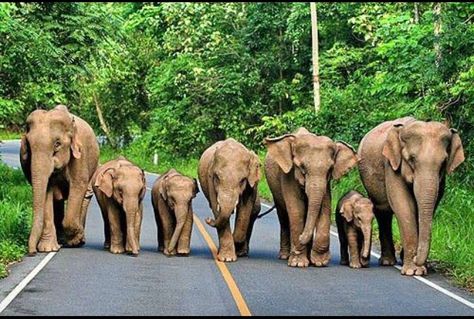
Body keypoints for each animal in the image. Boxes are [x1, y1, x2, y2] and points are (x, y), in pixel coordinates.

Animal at [19, 105, 99, 255]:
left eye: (57, 144)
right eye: (29, 146)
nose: (32, 252)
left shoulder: (80, 157)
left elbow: (78, 187)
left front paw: (74, 240)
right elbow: (47, 193)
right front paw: (47, 249)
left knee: (85, 196)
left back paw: (78, 240)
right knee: (58, 200)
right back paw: (61, 240)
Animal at [262, 127, 360, 268]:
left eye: (330, 169)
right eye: (302, 167)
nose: (300, 238)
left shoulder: (326, 184)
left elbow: (325, 208)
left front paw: (320, 262)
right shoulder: (288, 175)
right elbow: (296, 210)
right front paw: (298, 263)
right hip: (274, 188)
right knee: (284, 217)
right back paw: (285, 256)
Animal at [360, 116, 462, 276]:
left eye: (443, 162)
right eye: (412, 159)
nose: (415, 258)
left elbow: (428, 207)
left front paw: (420, 269)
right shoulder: (391, 164)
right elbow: (404, 206)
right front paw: (412, 271)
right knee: (382, 212)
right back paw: (388, 262)